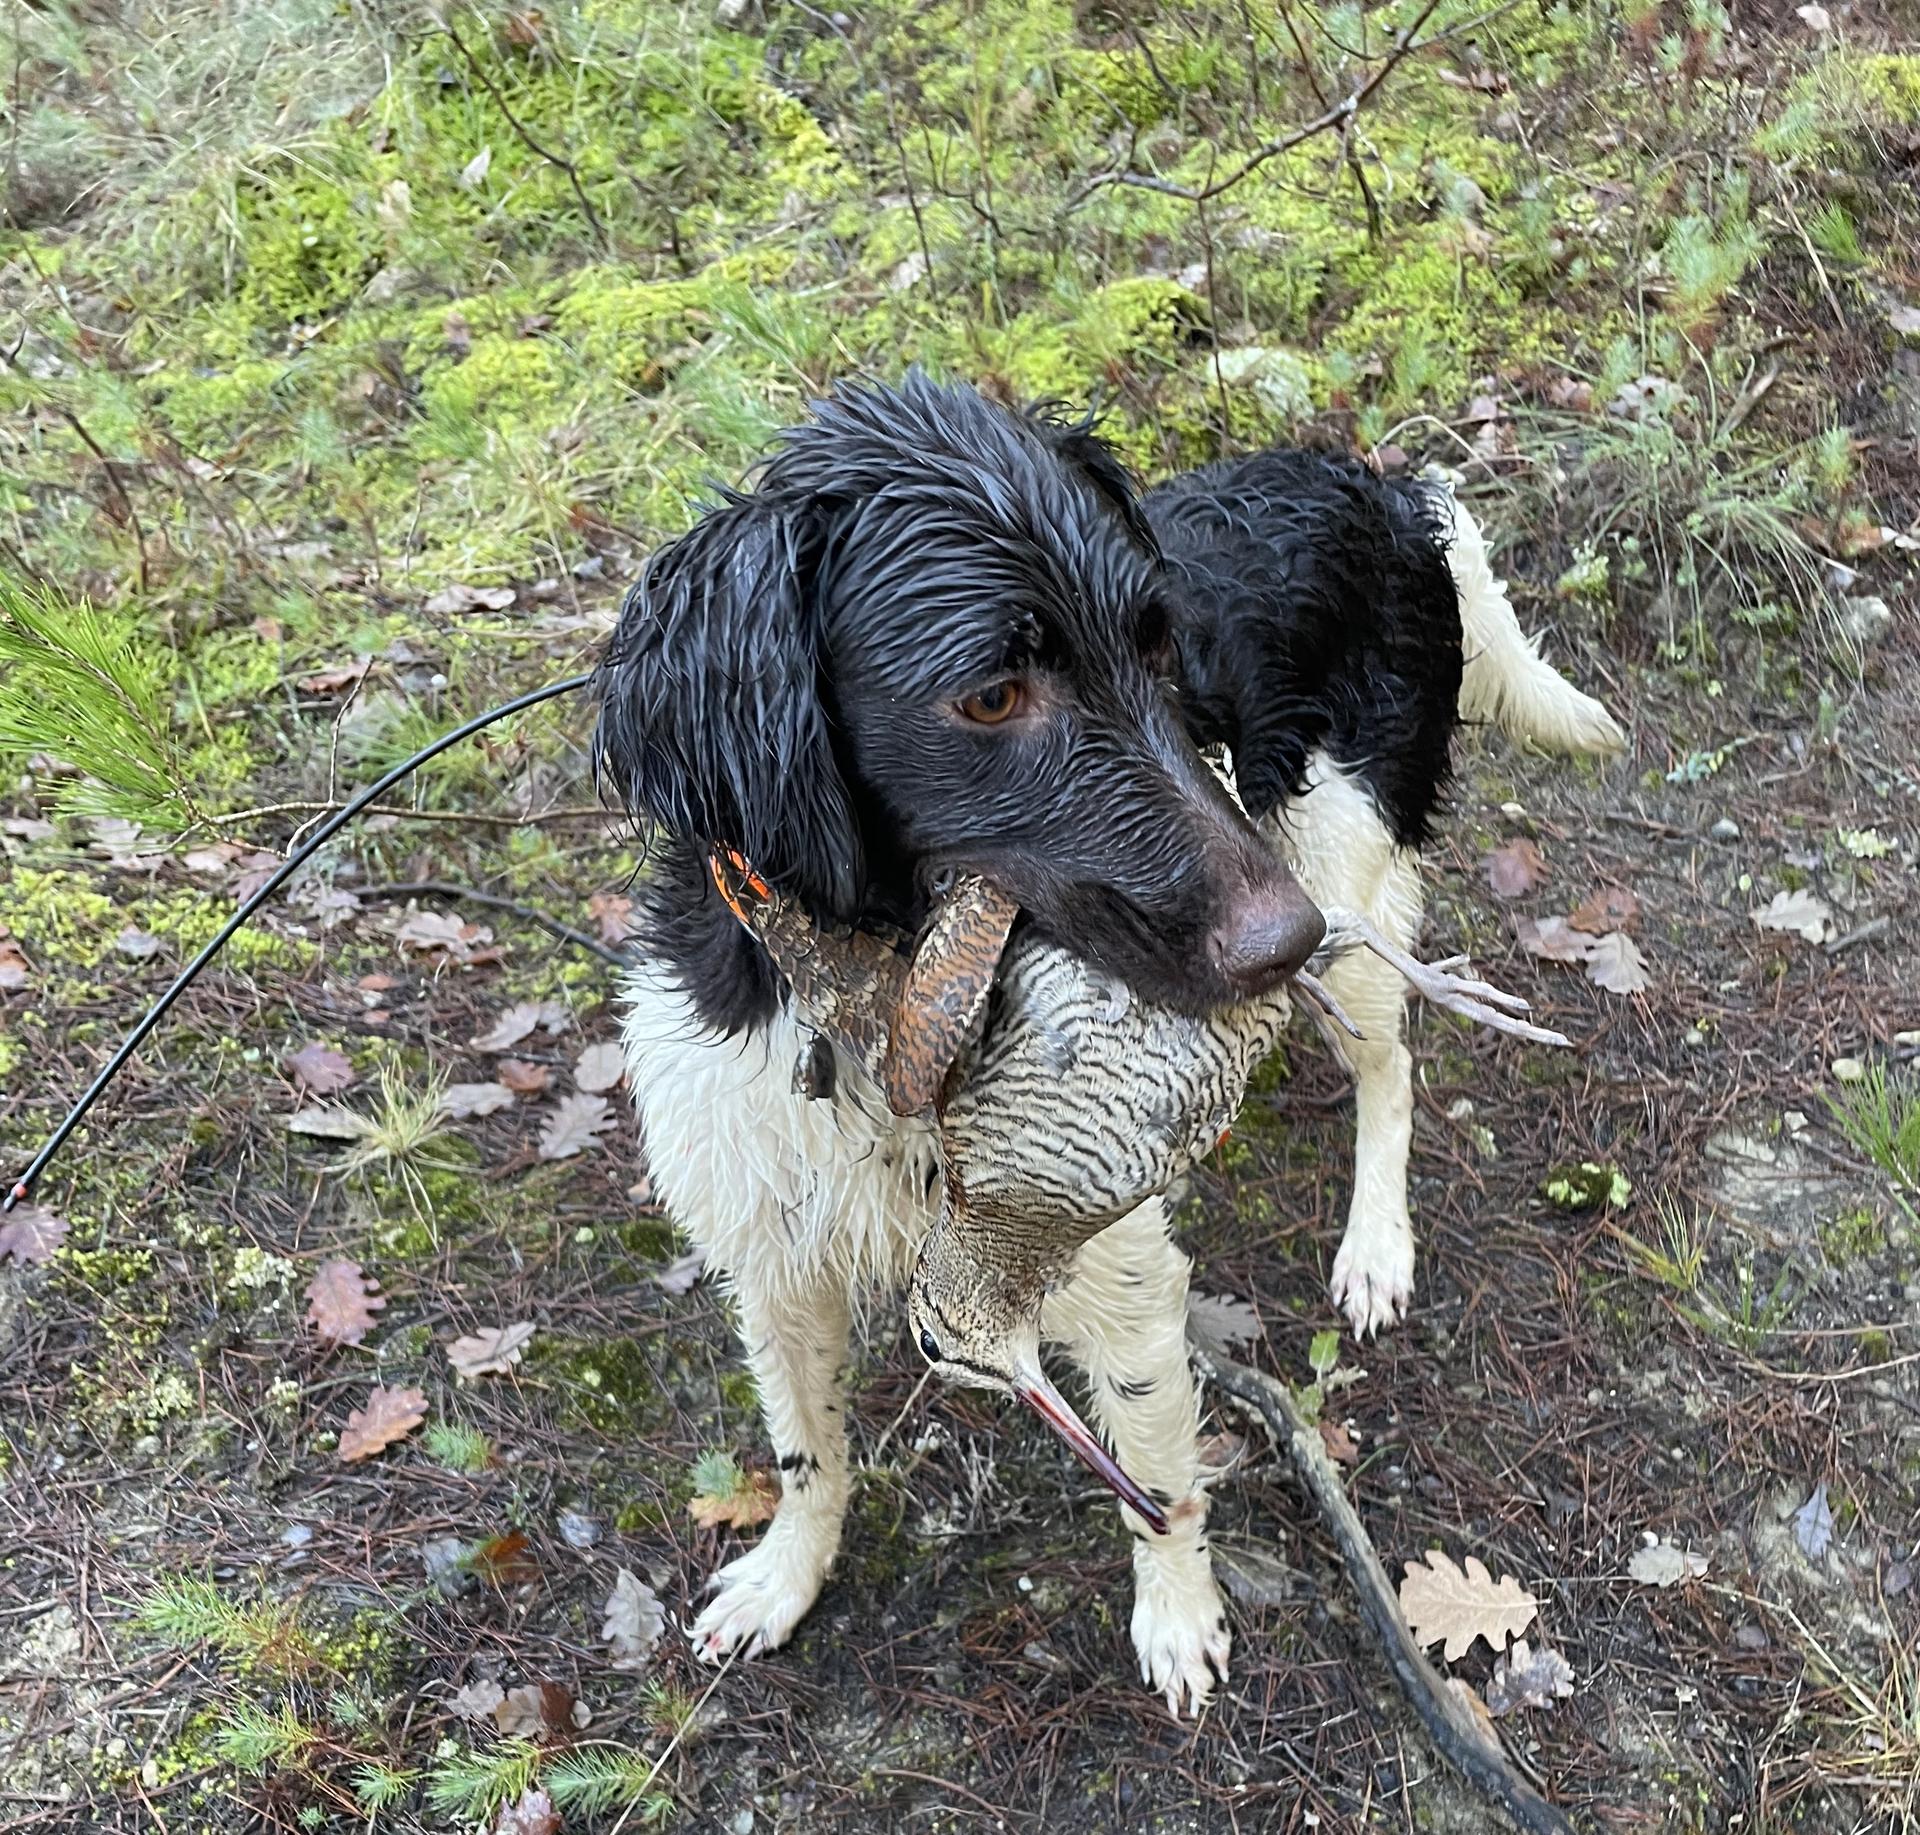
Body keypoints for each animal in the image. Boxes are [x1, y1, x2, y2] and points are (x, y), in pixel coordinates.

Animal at [595, 376, 1620, 1719]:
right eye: (990, 695)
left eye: (1158, 644)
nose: (1279, 939)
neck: (881, 1000)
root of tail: (1377, 484)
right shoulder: (773, 1251)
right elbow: (807, 1444)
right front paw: (785, 1574)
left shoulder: (1116, 1265)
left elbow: (1159, 1463)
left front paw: (1178, 1613)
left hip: (1345, 860)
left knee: (1390, 1060)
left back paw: (1375, 1244)